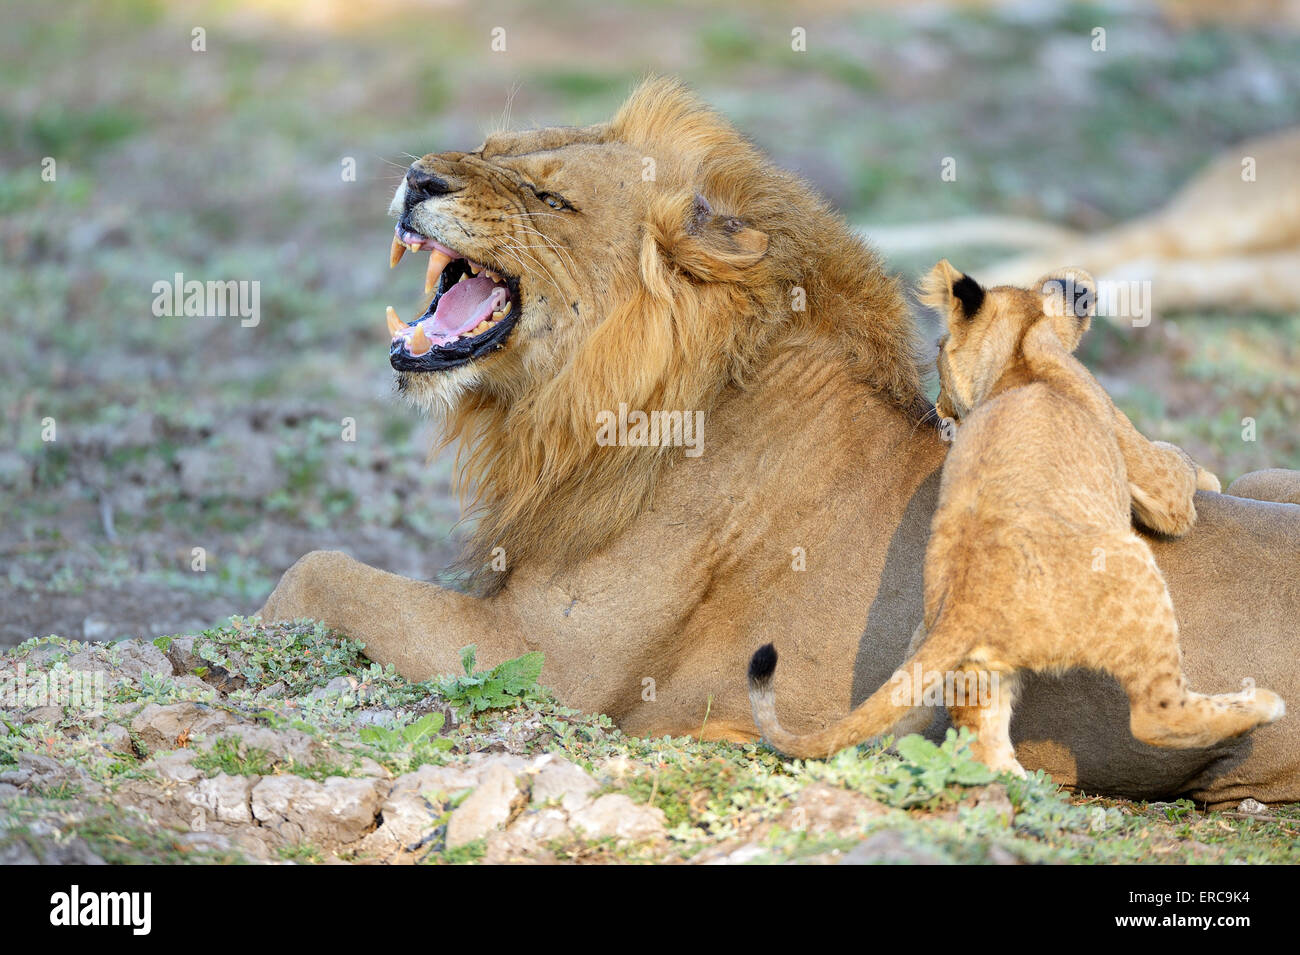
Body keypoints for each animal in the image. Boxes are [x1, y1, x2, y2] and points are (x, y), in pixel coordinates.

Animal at [748, 265, 1284, 774]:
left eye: (938, 349)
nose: (938, 407)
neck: (1019, 352)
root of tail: (964, 606)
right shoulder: (1146, 466)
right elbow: (1179, 471)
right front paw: (1212, 477)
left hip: (956, 657)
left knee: (965, 740)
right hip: (1133, 567)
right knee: (1157, 715)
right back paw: (1260, 704)